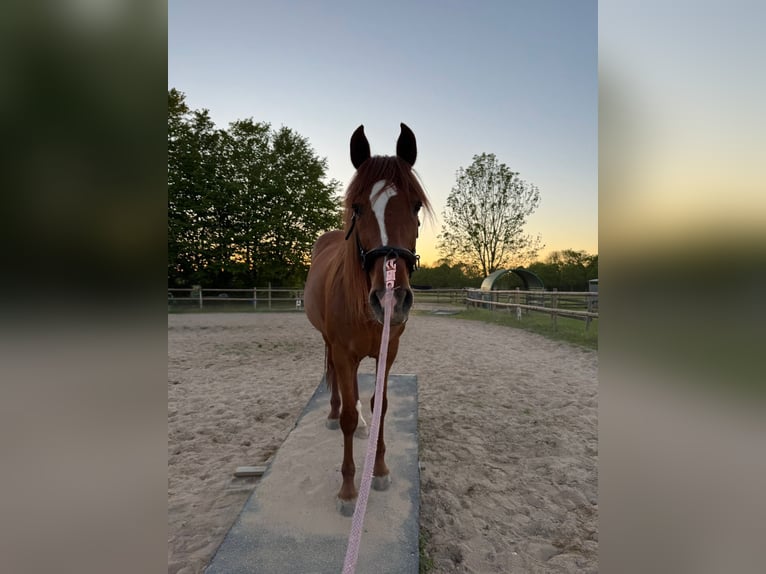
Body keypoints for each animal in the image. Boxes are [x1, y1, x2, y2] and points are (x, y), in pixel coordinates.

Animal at [304, 123, 432, 515]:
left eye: (415, 205)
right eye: (358, 208)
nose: (391, 298)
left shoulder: (387, 353)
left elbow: (381, 407)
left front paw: (380, 469)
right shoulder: (344, 351)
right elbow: (348, 412)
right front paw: (348, 489)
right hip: (330, 343)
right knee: (336, 381)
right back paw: (333, 414)